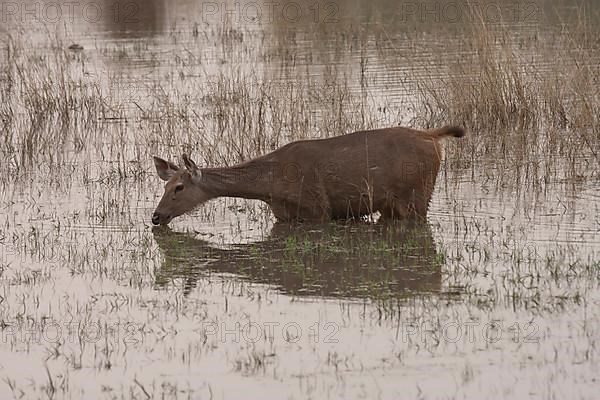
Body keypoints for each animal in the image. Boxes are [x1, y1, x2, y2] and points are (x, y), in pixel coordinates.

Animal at [150, 125, 464, 225]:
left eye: (179, 187)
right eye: (164, 187)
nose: (155, 216)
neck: (271, 186)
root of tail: (432, 137)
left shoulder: (318, 208)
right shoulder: (286, 215)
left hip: (417, 194)